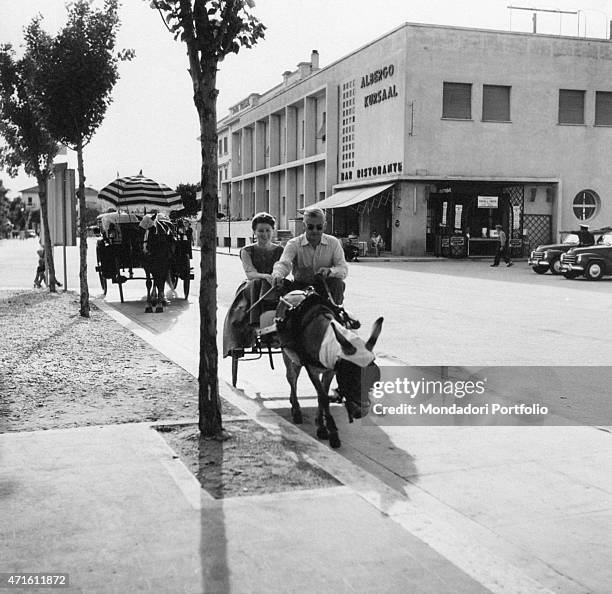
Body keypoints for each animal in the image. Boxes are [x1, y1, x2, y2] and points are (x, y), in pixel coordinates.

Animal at [276, 288, 382, 448]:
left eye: (375, 379)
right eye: (349, 377)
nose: (361, 411)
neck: (323, 337)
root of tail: (293, 292)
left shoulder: (330, 370)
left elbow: (323, 395)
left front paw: (321, 425)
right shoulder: (312, 370)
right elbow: (323, 397)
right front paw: (331, 433)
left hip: (298, 358)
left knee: (296, 372)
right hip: (286, 352)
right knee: (291, 377)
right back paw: (296, 409)